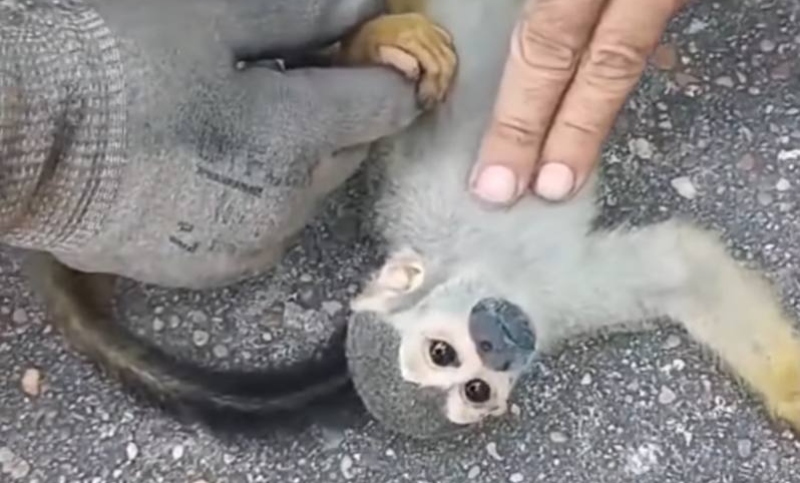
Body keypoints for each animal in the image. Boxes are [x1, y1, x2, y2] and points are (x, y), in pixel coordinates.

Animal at [342, 0, 800, 440]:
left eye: (441, 353)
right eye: (477, 390)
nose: (496, 346)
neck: (491, 269)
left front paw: (377, 42)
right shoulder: (558, 304)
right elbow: (683, 273)